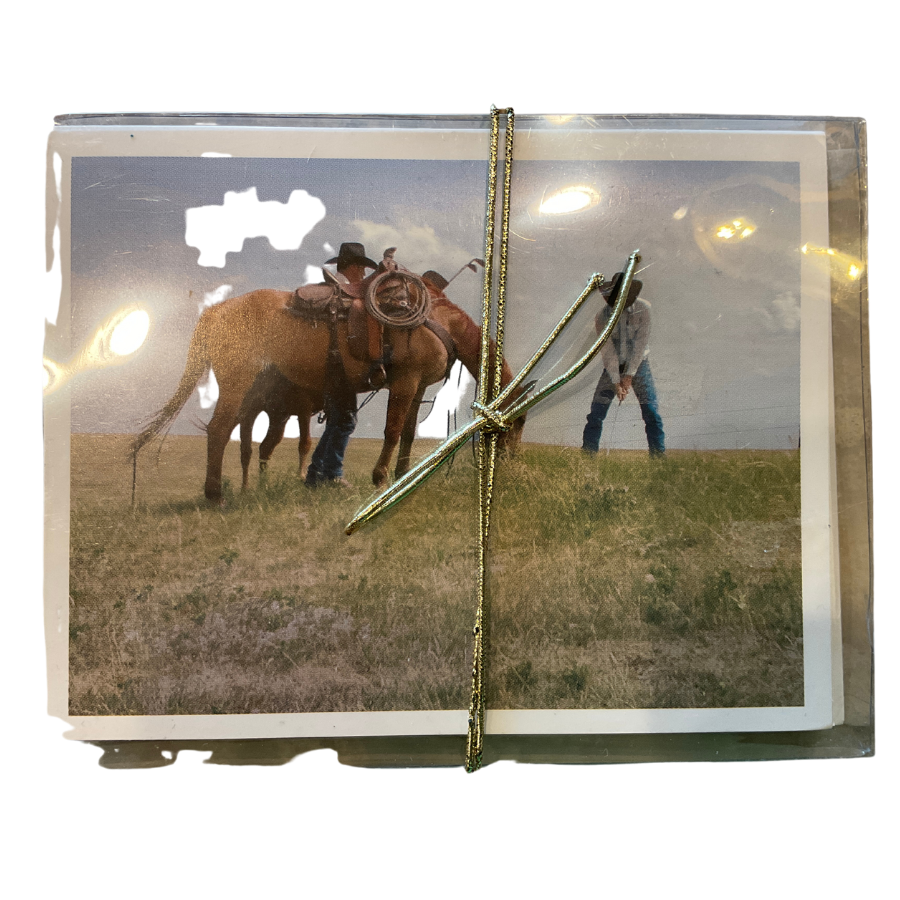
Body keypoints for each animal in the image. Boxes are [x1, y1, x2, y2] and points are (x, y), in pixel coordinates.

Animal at [136, 284, 524, 502]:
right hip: (237, 385)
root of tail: (219, 310)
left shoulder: (416, 388)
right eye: (517, 422)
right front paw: (380, 479)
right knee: (219, 432)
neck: (440, 324)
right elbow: (392, 431)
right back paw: (214, 495)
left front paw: (402, 476)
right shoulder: (404, 382)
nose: (511, 465)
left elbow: (408, 434)